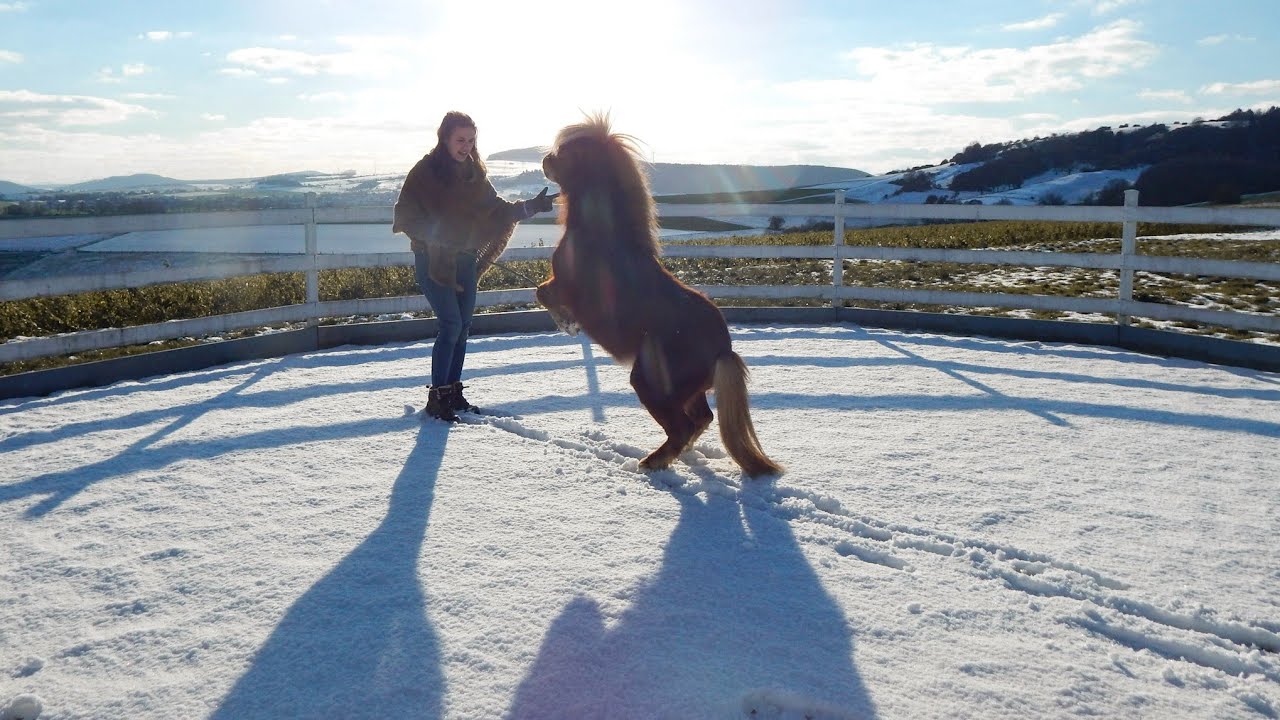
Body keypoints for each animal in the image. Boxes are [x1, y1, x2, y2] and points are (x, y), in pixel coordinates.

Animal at [536, 113, 783, 477]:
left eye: (566, 153)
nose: (545, 161)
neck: (601, 234)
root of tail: (723, 348)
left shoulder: (567, 286)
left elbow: (542, 293)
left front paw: (567, 323)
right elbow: (541, 291)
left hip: (651, 381)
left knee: (682, 427)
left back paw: (653, 462)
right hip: (686, 391)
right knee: (701, 418)